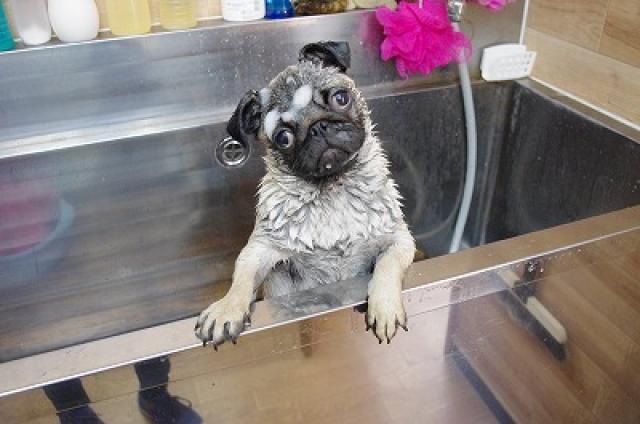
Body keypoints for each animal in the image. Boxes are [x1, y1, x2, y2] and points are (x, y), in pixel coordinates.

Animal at [195, 41, 415, 347]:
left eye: (340, 98)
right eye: (283, 138)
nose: (318, 127)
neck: (332, 189)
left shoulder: (400, 240)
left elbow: (388, 265)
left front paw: (384, 307)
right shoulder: (260, 249)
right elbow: (242, 276)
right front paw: (226, 308)